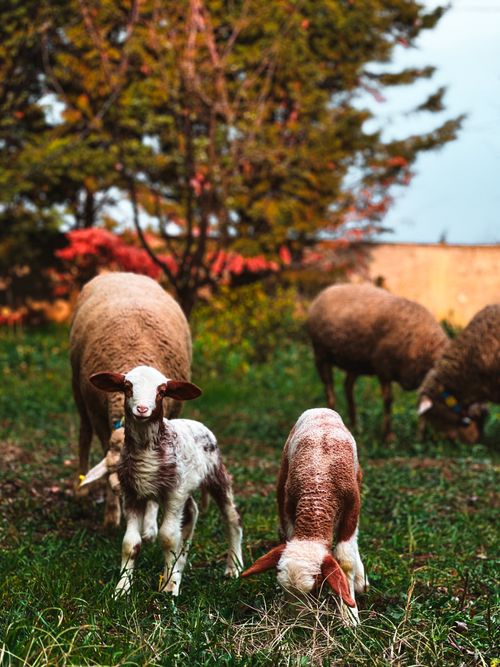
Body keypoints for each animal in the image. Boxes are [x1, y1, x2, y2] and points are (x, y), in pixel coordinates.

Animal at [70, 272, 193, 527]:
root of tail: (121, 273)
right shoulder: (98, 415)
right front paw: (111, 516)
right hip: (77, 387)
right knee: (84, 435)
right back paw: (81, 491)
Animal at [80, 364, 243, 596]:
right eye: (127, 386)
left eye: (162, 391)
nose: (141, 409)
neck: (146, 449)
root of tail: (197, 424)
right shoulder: (132, 493)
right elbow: (130, 543)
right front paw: (122, 588)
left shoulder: (174, 493)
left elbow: (168, 537)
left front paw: (169, 588)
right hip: (185, 484)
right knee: (192, 513)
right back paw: (179, 565)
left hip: (215, 475)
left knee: (232, 518)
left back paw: (233, 567)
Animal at [242, 408, 367, 625]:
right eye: (284, 589)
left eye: (316, 587)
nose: (297, 622)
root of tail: (321, 409)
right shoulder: (290, 503)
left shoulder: (352, 507)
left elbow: (345, 559)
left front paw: (350, 616)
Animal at [307, 283, 448, 441]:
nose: (452, 440)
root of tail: (326, 291)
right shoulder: (383, 368)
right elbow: (388, 400)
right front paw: (388, 436)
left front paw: (419, 436)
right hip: (321, 353)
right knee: (329, 389)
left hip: (355, 361)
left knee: (347, 386)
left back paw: (354, 425)